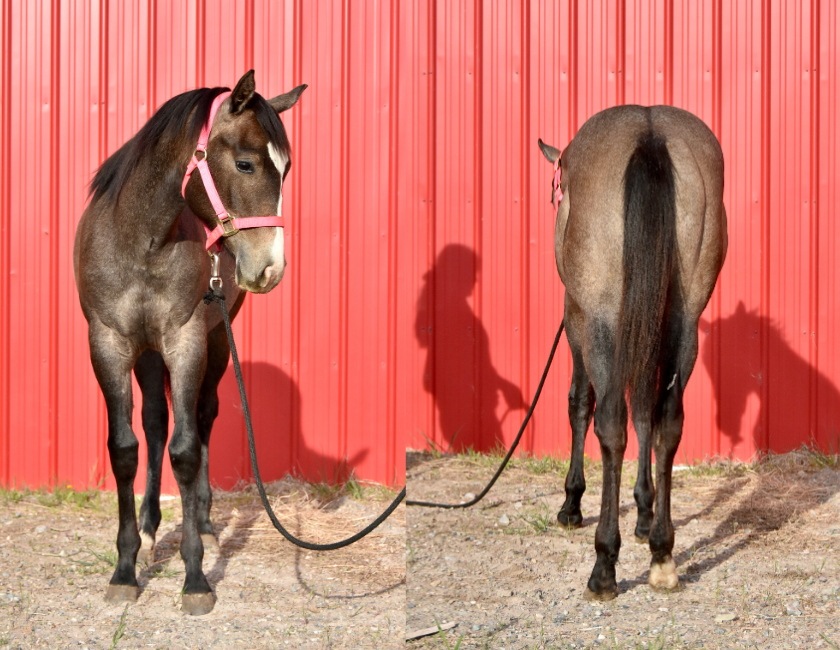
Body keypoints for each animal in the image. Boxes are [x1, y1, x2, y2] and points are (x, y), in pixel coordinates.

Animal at [74, 70, 305, 615]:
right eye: (245, 163)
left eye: (285, 170)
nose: (271, 269)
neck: (141, 241)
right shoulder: (109, 344)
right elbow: (126, 448)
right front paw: (125, 568)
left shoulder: (187, 341)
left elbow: (185, 450)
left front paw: (196, 576)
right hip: (148, 354)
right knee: (156, 424)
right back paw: (150, 528)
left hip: (217, 340)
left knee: (200, 419)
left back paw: (201, 520)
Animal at [538, 104, 727, 600]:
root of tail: (649, 134)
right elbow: (646, 414)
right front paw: (644, 513)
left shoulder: (577, 321)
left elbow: (579, 404)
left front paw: (572, 502)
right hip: (684, 323)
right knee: (667, 421)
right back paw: (662, 554)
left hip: (600, 321)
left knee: (610, 422)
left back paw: (604, 565)